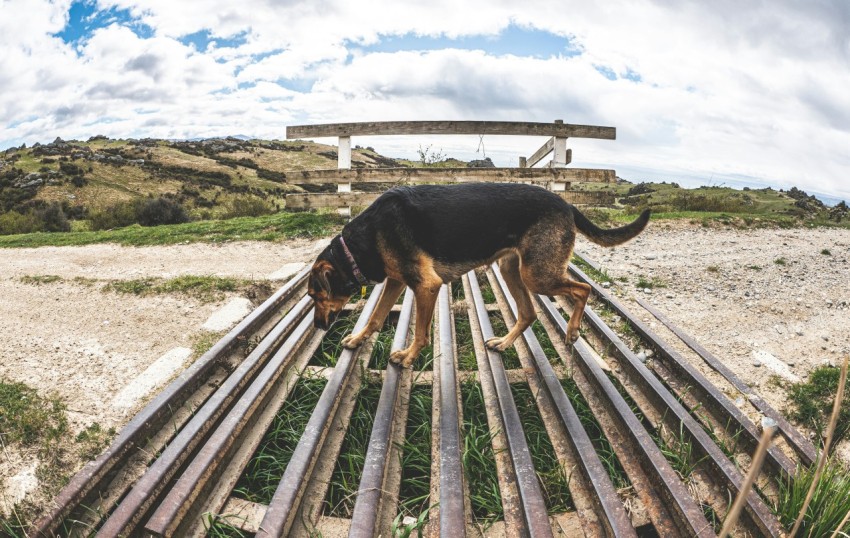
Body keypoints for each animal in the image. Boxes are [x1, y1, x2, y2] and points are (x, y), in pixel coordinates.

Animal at [308, 182, 644, 366]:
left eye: (314, 295)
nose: (319, 327)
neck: (356, 247)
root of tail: (567, 205)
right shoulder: (396, 281)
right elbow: (375, 317)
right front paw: (359, 338)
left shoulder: (426, 286)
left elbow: (421, 332)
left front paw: (409, 357)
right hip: (512, 270)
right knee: (528, 313)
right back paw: (504, 343)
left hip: (537, 274)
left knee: (583, 289)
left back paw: (573, 331)